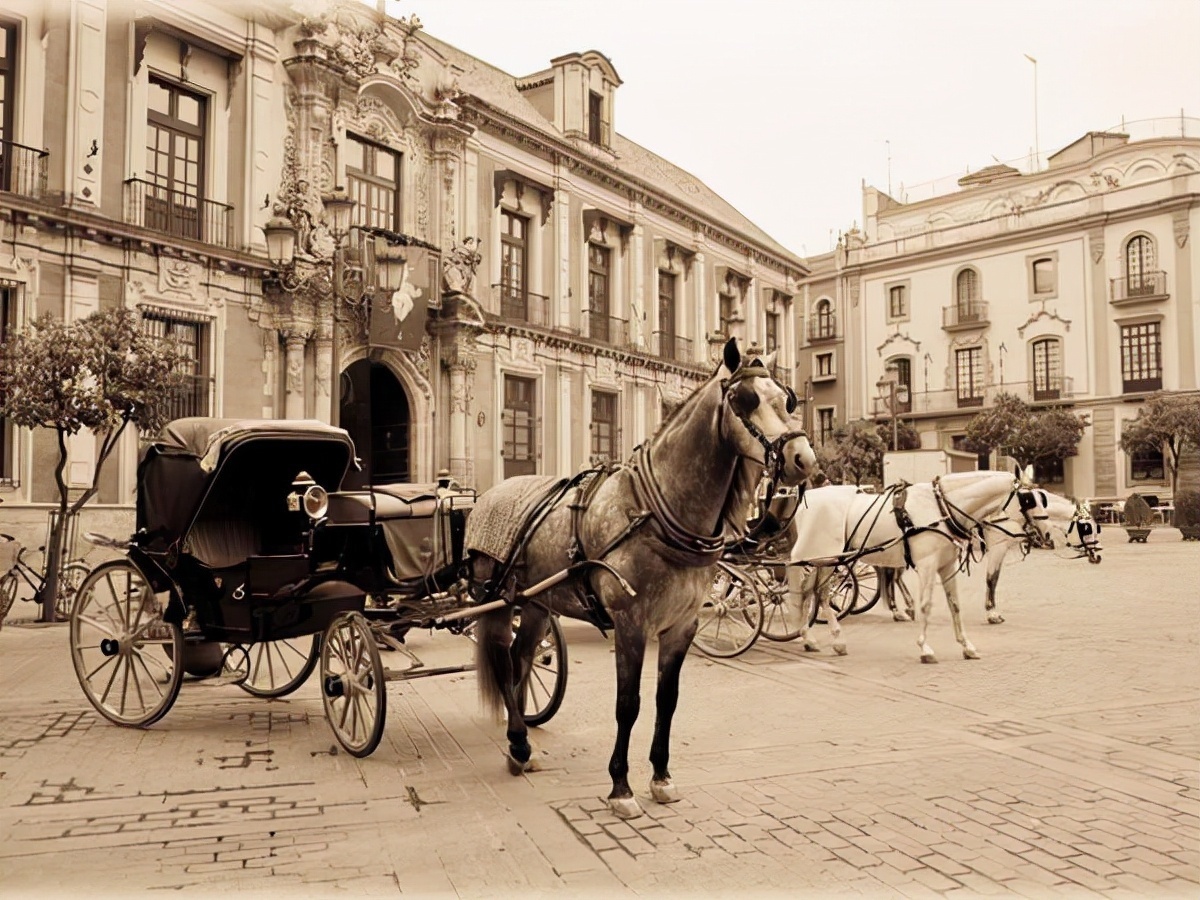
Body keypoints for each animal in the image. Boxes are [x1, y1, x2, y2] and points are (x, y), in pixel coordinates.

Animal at [792, 468, 1056, 667]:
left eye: (1042, 498)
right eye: (1028, 499)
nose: (1047, 534)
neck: (941, 507)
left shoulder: (946, 565)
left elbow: (955, 605)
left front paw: (967, 646)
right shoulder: (928, 565)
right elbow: (926, 605)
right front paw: (925, 648)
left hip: (824, 560)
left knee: (809, 593)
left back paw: (811, 638)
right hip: (823, 558)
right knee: (818, 595)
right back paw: (830, 638)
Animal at [878, 494, 1099, 628]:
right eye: (1086, 527)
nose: (1097, 556)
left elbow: (994, 579)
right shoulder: (998, 548)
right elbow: (992, 579)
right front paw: (992, 613)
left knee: (893, 577)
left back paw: (905, 607)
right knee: (891, 576)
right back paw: (898, 610)